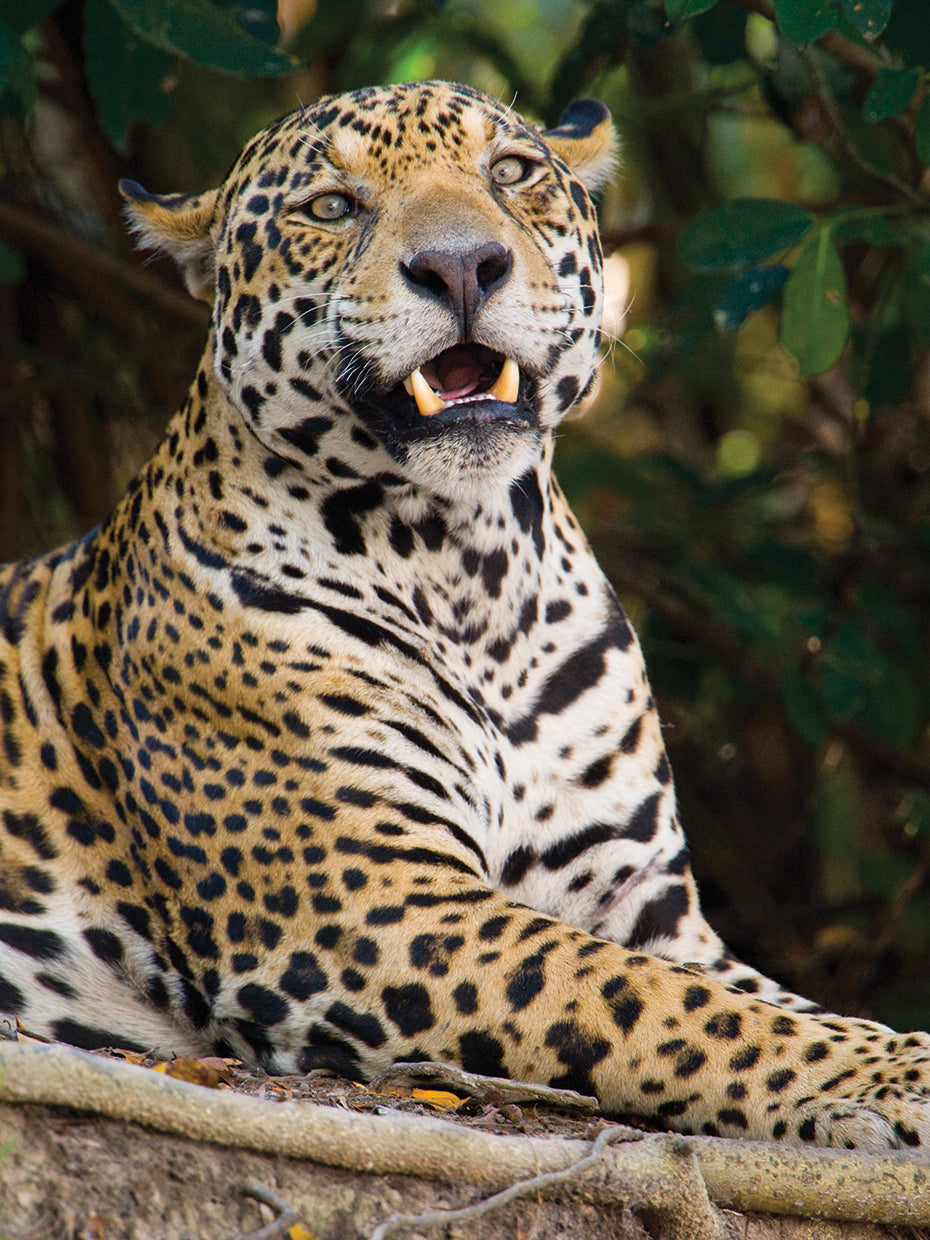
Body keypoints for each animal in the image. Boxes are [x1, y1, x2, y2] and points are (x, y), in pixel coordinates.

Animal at [0, 79, 928, 1151]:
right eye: (332, 206)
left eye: (512, 172)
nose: (460, 266)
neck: (473, 568)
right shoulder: (366, 904)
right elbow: (655, 1000)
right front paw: (895, 1077)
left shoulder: (644, 900)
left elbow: (753, 997)